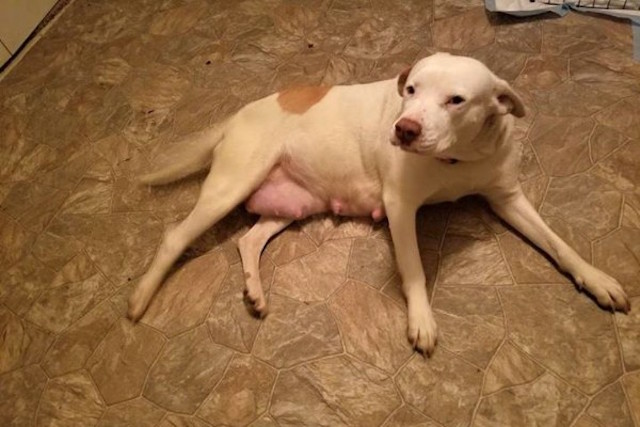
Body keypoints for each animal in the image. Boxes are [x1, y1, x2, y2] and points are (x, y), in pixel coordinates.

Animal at [128, 53, 630, 355]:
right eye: (411, 90)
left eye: (456, 100)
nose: (404, 129)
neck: (456, 157)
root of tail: (236, 115)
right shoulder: (401, 208)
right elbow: (414, 269)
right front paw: (422, 320)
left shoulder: (508, 199)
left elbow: (560, 244)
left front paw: (597, 279)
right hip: (230, 185)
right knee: (174, 237)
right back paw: (139, 299)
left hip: (290, 205)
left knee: (247, 242)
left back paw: (254, 290)